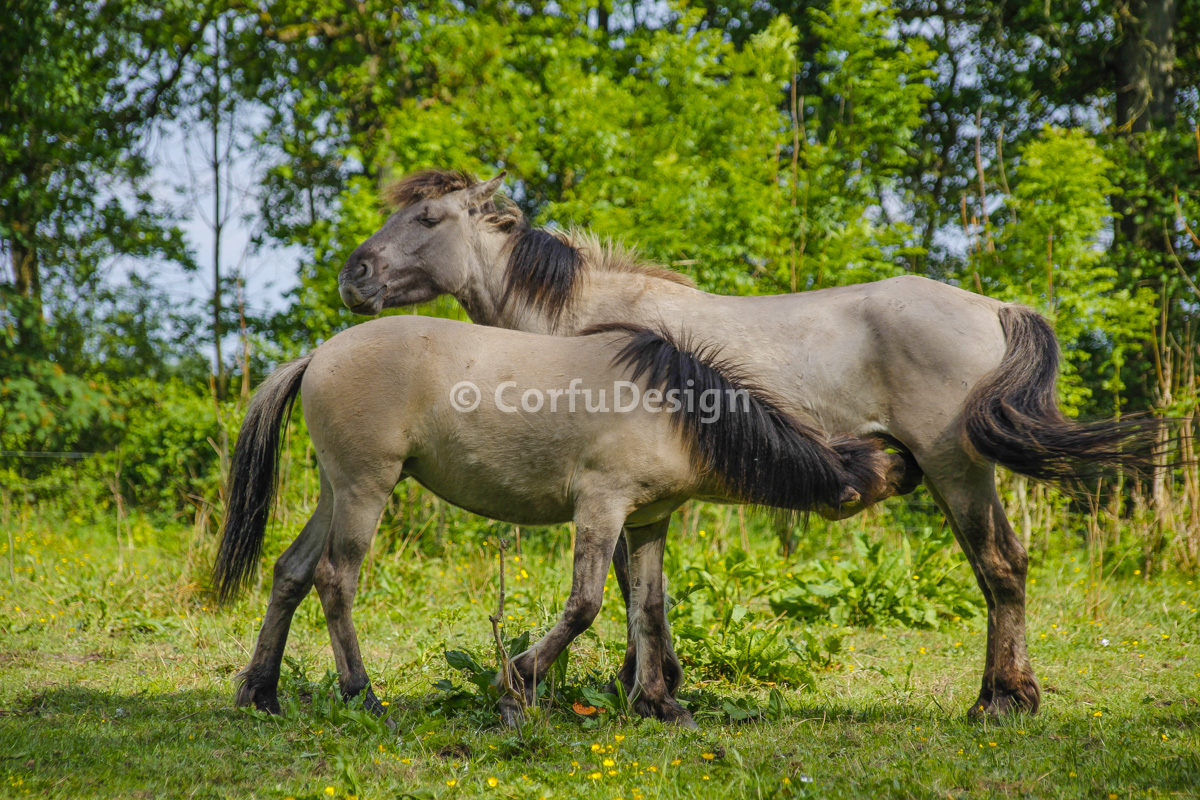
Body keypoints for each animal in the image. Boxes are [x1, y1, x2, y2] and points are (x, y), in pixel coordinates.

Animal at [211, 316, 897, 729]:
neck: (673, 409)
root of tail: (318, 355)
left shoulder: (646, 523)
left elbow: (648, 608)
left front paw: (659, 702)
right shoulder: (601, 508)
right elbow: (586, 605)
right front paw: (516, 686)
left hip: (336, 490)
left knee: (291, 572)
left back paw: (262, 693)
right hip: (365, 488)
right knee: (336, 580)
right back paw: (364, 696)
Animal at [340, 170, 1171, 719]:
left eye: (429, 219)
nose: (354, 275)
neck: (585, 318)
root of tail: (992, 306)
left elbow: (623, 586)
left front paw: (636, 683)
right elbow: (643, 587)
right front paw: (652, 684)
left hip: (954, 466)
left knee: (1000, 567)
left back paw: (1001, 700)